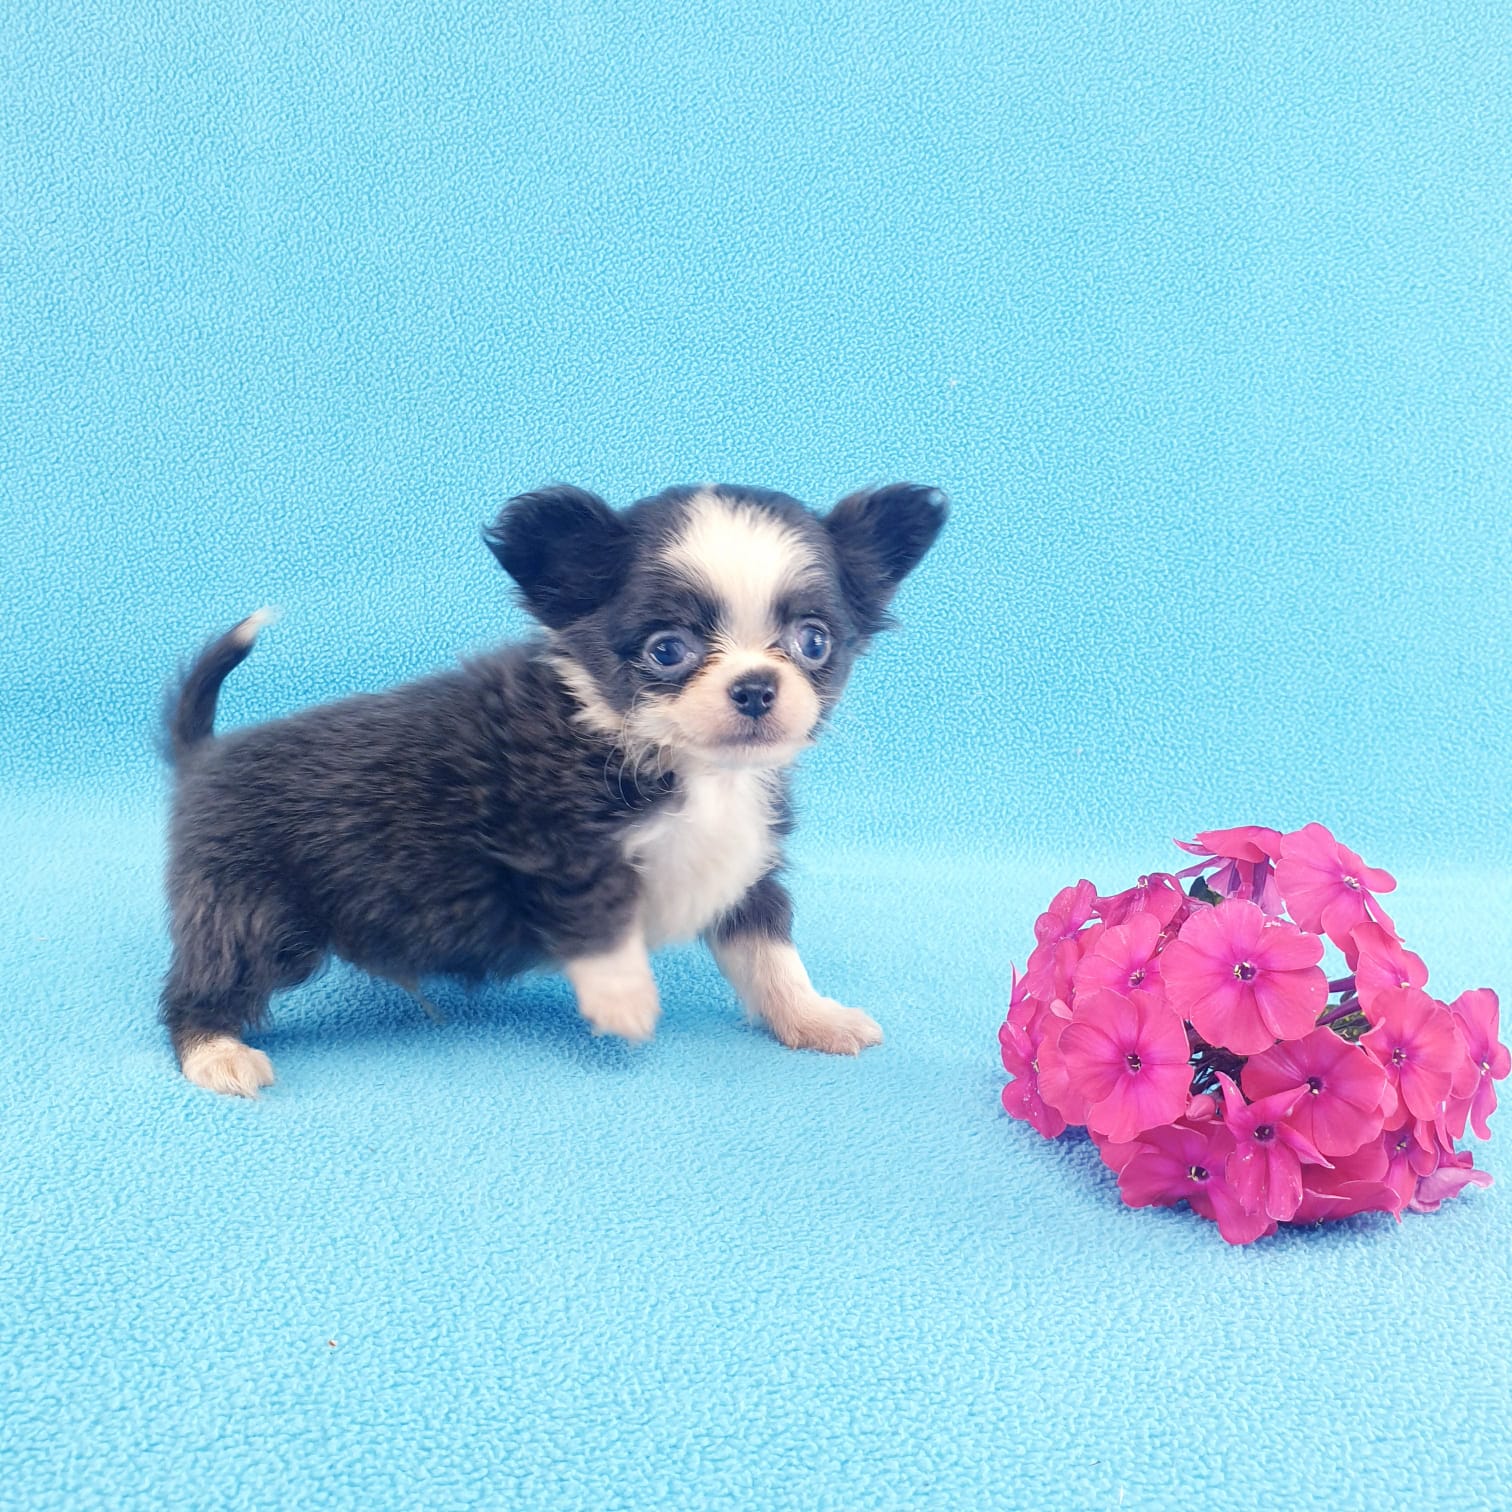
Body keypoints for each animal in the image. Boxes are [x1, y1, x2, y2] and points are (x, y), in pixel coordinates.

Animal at [159, 481, 947, 1095]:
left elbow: (771, 953)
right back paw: (216, 1054)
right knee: (199, 985)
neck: (689, 767)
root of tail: (206, 754)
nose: (755, 687)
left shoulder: (745, 865)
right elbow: (601, 911)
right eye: (668, 650)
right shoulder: (551, 840)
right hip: (252, 912)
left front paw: (813, 1017)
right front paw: (625, 1002)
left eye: (814, 642)